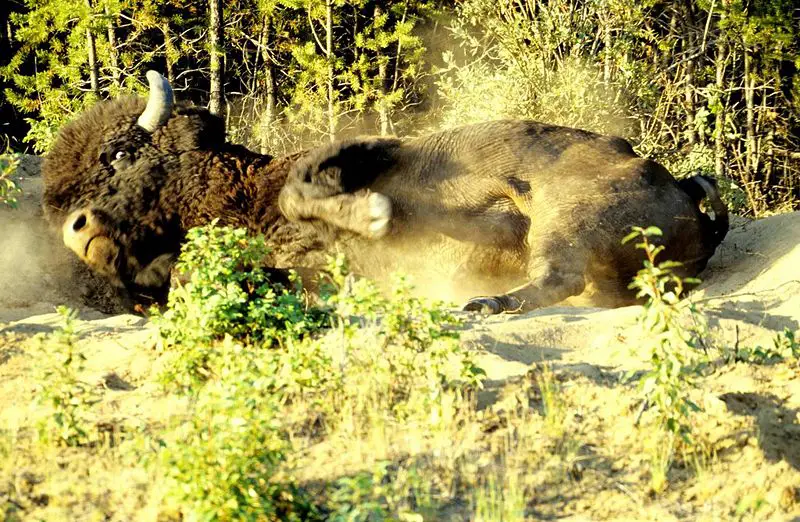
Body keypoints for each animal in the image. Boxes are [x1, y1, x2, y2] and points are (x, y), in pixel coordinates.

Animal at [42, 71, 728, 313]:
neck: (244, 187)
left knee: (558, 274)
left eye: (120, 154)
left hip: (569, 219)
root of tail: (681, 190)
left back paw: (483, 303)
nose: (77, 231)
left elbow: (312, 194)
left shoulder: (365, 149)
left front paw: (375, 214)